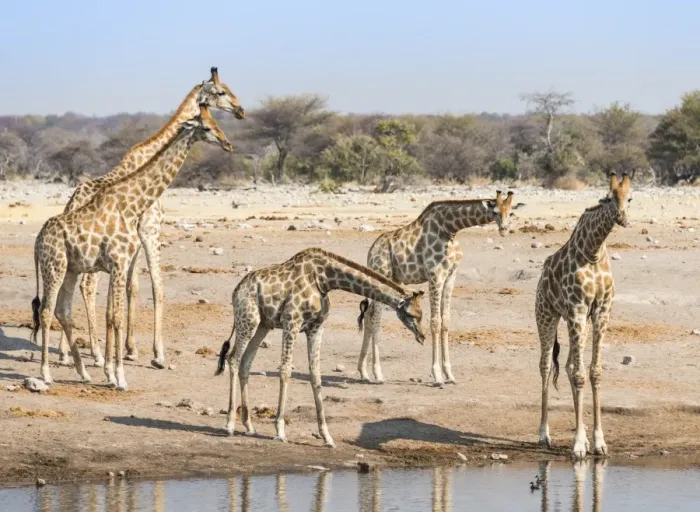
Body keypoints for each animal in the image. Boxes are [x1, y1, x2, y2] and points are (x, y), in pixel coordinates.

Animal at [31, 103, 232, 389]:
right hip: (54, 268)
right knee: (47, 310)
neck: (132, 205)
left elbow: (114, 314)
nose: (227, 143)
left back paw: (84, 372)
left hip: (71, 269)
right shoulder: (118, 262)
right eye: (205, 127)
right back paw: (47, 373)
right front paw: (119, 377)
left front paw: (111, 372)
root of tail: (37, 241)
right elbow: (115, 317)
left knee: (63, 310)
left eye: (217, 124)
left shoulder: (121, 263)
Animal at [55, 67, 244, 370]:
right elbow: (157, 285)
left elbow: (132, 286)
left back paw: (68, 351)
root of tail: (72, 202)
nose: (241, 111)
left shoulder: (134, 238)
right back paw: (94, 353)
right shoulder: (149, 230)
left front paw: (131, 349)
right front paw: (157, 354)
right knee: (87, 286)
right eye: (221, 91)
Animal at [214, 248, 425, 447]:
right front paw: (280, 430)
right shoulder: (292, 322)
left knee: (245, 363)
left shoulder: (316, 327)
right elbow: (285, 371)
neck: (324, 280)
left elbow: (316, 376)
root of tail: (236, 291)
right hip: (248, 319)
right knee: (233, 358)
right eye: (412, 314)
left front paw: (327, 436)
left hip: (263, 325)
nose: (422, 337)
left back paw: (249, 426)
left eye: (421, 314)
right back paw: (229, 425)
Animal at [358, 191, 525, 385]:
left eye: (510, 212)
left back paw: (363, 372)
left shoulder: (450, 276)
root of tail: (371, 252)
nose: (504, 229)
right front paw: (437, 375)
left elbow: (446, 321)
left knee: (369, 315)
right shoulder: (435, 276)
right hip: (381, 274)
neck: (450, 229)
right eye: (495, 211)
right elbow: (435, 322)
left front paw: (450, 374)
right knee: (375, 318)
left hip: (391, 279)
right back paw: (378, 374)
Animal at [536, 173, 632, 459]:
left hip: (575, 321)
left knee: (567, 366)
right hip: (546, 314)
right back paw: (544, 435)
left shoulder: (601, 310)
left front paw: (598, 442)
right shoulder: (578, 308)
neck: (594, 250)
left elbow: (593, 372)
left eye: (630, 198)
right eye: (609, 197)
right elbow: (580, 374)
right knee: (545, 366)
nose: (622, 217)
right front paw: (578, 444)